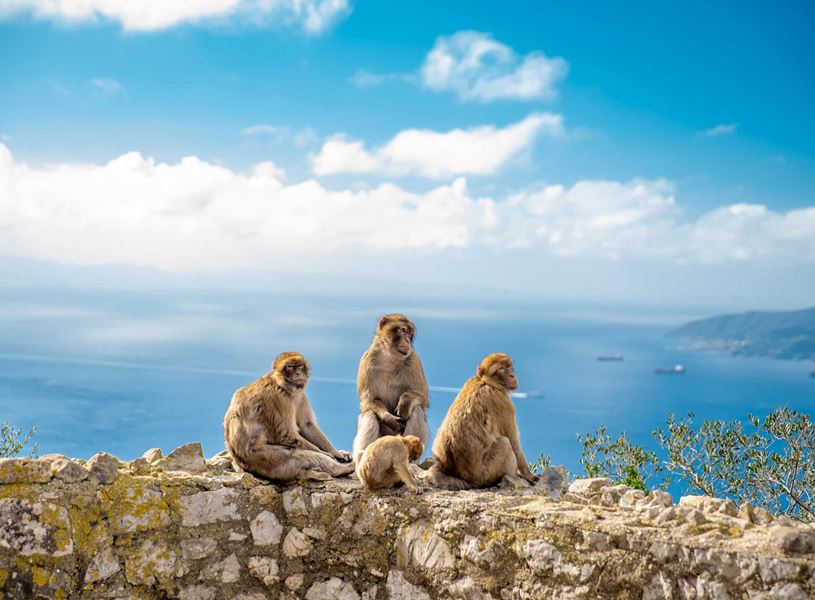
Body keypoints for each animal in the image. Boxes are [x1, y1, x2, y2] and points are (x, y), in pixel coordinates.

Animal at [224, 352, 355, 481]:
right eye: (290, 367)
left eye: (300, 366)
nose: (298, 373)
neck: (282, 385)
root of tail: (237, 460)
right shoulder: (278, 398)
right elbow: (286, 434)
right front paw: (328, 455)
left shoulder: (301, 396)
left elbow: (306, 425)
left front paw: (336, 453)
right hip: (263, 459)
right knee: (298, 455)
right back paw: (341, 469)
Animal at [352, 314, 429, 463]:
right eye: (403, 330)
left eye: (410, 334)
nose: (407, 340)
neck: (390, 357)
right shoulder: (367, 360)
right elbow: (369, 401)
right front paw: (389, 418)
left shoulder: (413, 360)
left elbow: (422, 398)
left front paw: (406, 400)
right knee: (370, 414)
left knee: (416, 410)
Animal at [428, 353, 539, 490]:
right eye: (501, 369)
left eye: (509, 366)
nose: (512, 375)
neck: (487, 382)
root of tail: (460, 475)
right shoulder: (503, 403)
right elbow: (513, 442)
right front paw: (529, 475)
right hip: (487, 472)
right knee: (505, 443)